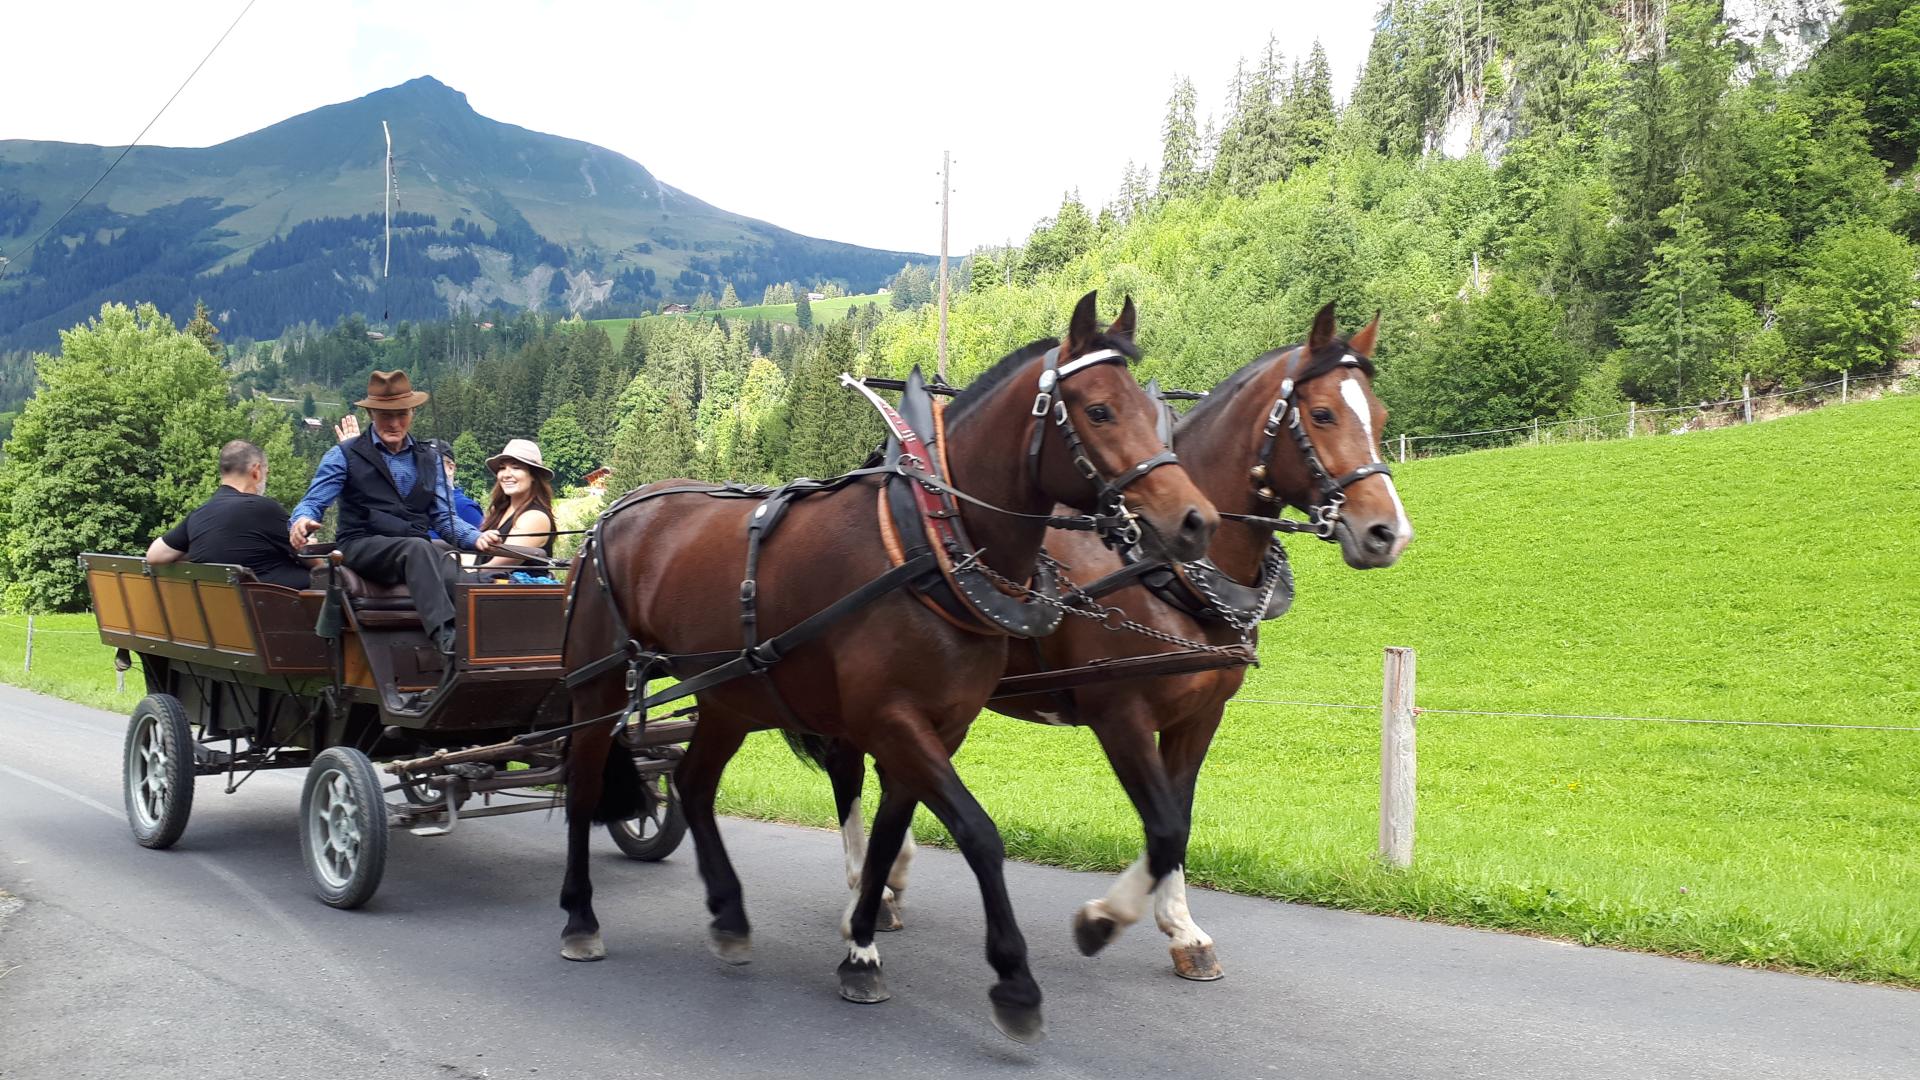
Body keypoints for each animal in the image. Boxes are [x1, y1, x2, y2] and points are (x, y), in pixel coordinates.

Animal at [557, 291, 1218, 1042]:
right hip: (597, 687)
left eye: (1153, 410)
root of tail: (611, 515)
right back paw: (579, 916)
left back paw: (728, 913)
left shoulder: (938, 726)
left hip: (730, 697)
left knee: (694, 786)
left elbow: (886, 836)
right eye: (1101, 410)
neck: (925, 544)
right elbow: (977, 834)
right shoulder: (893, 720)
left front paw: (861, 949)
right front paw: (1015, 980)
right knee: (584, 787)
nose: (1194, 520)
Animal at [821, 303, 1411, 981]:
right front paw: (1106, 917)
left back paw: (889, 880)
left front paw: (1182, 929)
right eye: (1322, 414)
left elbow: (1179, 819)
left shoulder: (1200, 716)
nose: (1388, 532)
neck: (1162, 569)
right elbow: (1161, 825)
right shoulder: (1120, 714)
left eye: (1380, 417)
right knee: (848, 769)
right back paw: (863, 894)